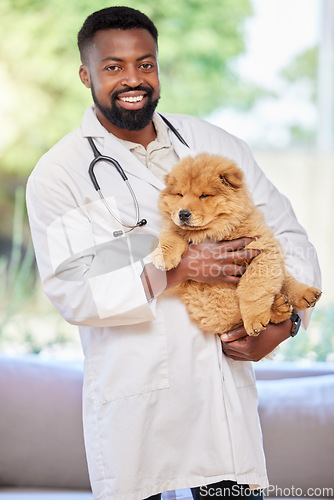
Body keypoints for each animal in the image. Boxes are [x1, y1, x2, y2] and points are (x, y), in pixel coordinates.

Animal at [153, 153, 322, 336]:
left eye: (204, 196)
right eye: (180, 195)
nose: (183, 213)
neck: (218, 231)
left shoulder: (263, 248)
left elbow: (252, 287)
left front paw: (254, 319)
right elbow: (171, 235)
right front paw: (163, 257)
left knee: (285, 281)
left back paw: (305, 295)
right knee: (235, 318)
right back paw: (279, 307)